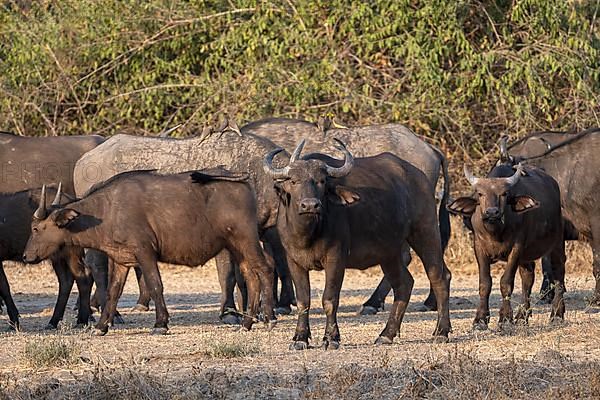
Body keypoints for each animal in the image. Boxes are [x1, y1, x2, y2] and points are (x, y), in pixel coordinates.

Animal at [0, 184, 92, 328]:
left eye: (35, 228)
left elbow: (4, 287)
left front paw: (14, 321)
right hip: (57, 256)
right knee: (66, 281)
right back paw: (53, 321)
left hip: (71, 253)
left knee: (83, 276)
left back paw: (81, 321)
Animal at [22, 169, 276, 334]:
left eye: (35, 228)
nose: (26, 256)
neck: (107, 210)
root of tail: (244, 184)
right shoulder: (121, 260)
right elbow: (113, 292)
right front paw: (101, 326)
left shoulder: (145, 253)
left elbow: (155, 285)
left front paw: (160, 324)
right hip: (235, 246)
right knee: (251, 276)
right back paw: (246, 323)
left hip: (247, 239)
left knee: (265, 269)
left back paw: (268, 318)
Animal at [262, 139, 450, 348]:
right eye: (294, 181)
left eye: (321, 181)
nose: (310, 205)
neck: (309, 233)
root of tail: (420, 177)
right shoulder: (294, 261)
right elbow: (303, 301)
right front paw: (300, 338)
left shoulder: (335, 259)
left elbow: (329, 299)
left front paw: (331, 338)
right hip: (389, 253)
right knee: (404, 284)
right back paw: (386, 334)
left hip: (426, 232)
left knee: (439, 277)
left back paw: (441, 332)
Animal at [448, 163, 564, 328]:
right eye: (480, 194)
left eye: (504, 194)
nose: (492, 212)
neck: (496, 232)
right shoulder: (479, 248)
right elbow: (485, 283)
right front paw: (480, 320)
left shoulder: (516, 249)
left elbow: (506, 282)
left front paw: (505, 317)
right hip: (526, 257)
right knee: (528, 278)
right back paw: (522, 316)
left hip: (557, 244)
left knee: (558, 275)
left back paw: (557, 314)